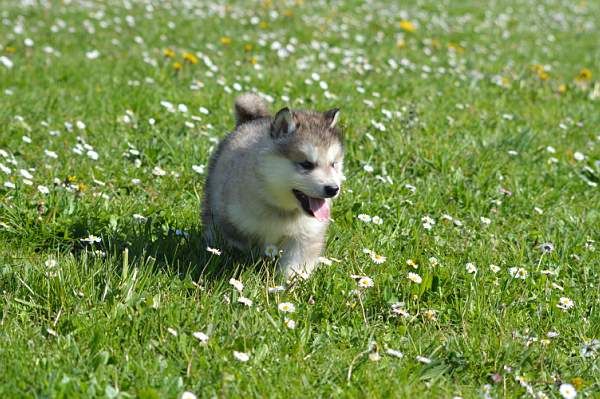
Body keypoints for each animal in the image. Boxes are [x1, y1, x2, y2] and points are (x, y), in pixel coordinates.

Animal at [202, 93, 344, 282]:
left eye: (333, 164)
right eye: (306, 164)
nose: (333, 189)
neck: (281, 209)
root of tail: (253, 120)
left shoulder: (305, 236)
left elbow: (296, 265)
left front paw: (289, 284)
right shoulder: (232, 222)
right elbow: (238, 244)